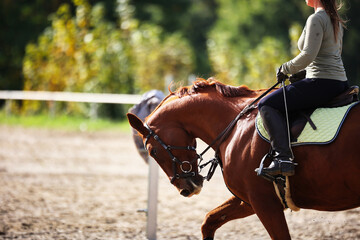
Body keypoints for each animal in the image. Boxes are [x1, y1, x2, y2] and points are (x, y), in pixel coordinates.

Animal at [126, 78, 360, 238]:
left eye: (152, 151)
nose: (186, 189)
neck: (235, 124)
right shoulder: (248, 199)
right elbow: (209, 221)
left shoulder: (264, 202)